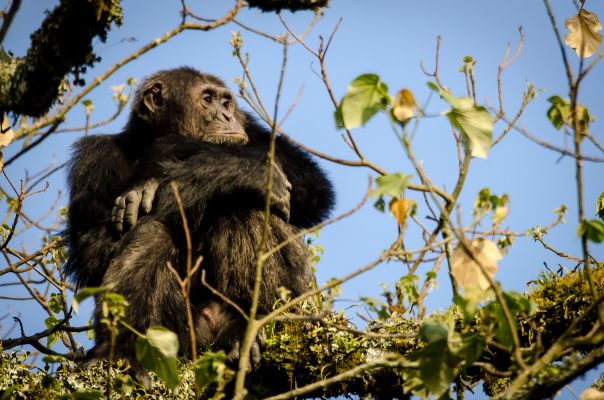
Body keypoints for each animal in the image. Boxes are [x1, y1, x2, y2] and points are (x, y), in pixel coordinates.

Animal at [66, 67, 336, 382]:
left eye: (226, 102)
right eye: (207, 100)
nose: (227, 116)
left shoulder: (252, 128)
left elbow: (313, 186)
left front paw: (173, 158)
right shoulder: (92, 158)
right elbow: (90, 247)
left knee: (245, 206)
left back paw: (249, 324)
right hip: (182, 335)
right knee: (154, 232)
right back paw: (122, 354)